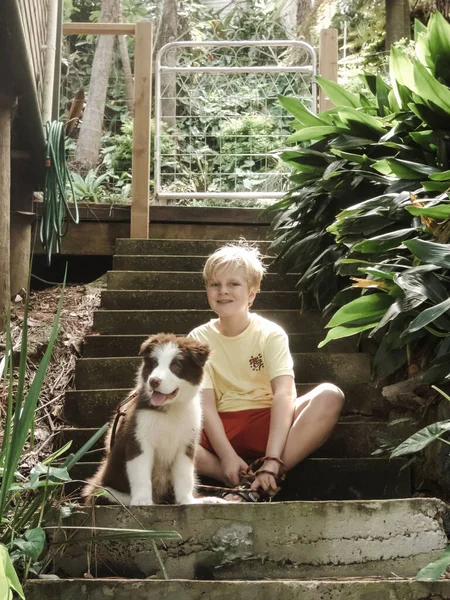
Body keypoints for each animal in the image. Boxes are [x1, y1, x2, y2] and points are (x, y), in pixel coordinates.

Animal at [82, 336, 216, 504]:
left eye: (175, 366)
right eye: (154, 364)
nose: (154, 381)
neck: (170, 409)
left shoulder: (187, 442)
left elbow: (184, 474)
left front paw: (187, 501)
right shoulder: (138, 438)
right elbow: (141, 474)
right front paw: (142, 502)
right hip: (104, 491)